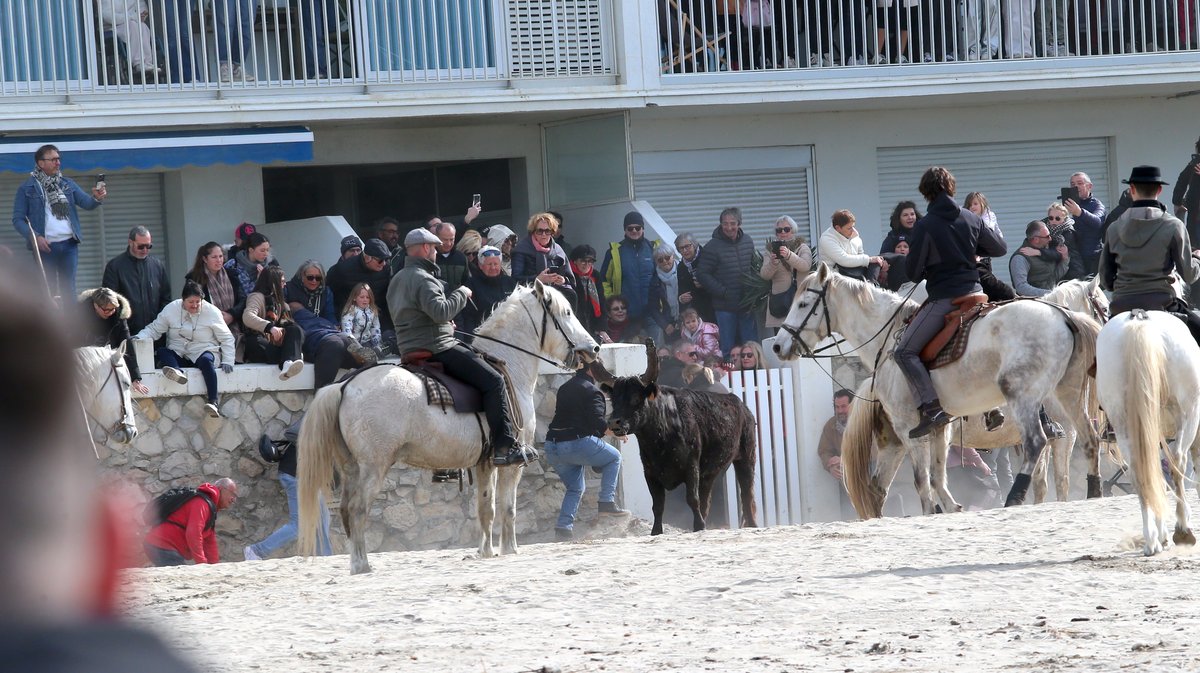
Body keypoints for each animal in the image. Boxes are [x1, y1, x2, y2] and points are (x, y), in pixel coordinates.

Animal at [300, 281, 600, 571]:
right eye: (567, 313)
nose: (594, 348)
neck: (509, 369)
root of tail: (345, 385)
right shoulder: (512, 463)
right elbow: (508, 508)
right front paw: (510, 549)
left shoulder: (486, 462)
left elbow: (485, 508)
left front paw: (485, 552)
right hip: (373, 467)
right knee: (357, 510)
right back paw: (362, 564)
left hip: (351, 468)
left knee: (346, 511)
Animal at [592, 340, 753, 535]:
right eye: (614, 399)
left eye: (636, 398)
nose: (614, 423)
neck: (660, 439)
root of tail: (741, 405)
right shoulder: (651, 474)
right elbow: (658, 505)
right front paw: (656, 531)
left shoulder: (692, 468)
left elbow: (692, 499)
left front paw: (699, 526)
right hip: (710, 473)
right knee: (707, 499)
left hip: (746, 457)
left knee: (747, 493)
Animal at [772, 262, 1099, 513]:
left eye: (803, 304)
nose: (777, 345)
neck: (889, 342)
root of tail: (1064, 317)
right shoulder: (933, 428)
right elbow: (935, 478)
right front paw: (948, 508)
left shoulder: (915, 429)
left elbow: (928, 481)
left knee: (1045, 442)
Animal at [1099, 309, 1200, 556]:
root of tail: (1139, 320)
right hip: (1188, 415)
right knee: (1177, 463)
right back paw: (1182, 529)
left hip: (1125, 424)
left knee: (1141, 473)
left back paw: (1152, 540)